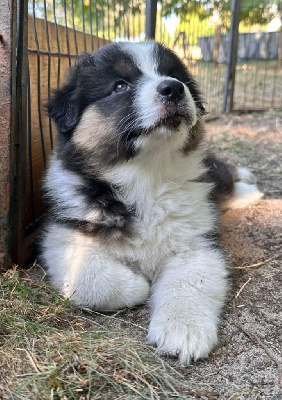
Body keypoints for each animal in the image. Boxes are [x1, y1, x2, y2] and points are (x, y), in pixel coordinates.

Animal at [41, 42, 262, 364]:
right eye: (120, 86)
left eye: (174, 76)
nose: (173, 88)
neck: (147, 176)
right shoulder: (65, 232)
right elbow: (85, 280)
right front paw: (139, 285)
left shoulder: (196, 242)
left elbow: (189, 282)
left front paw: (183, 331)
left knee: (224, 176)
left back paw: (249, 186)